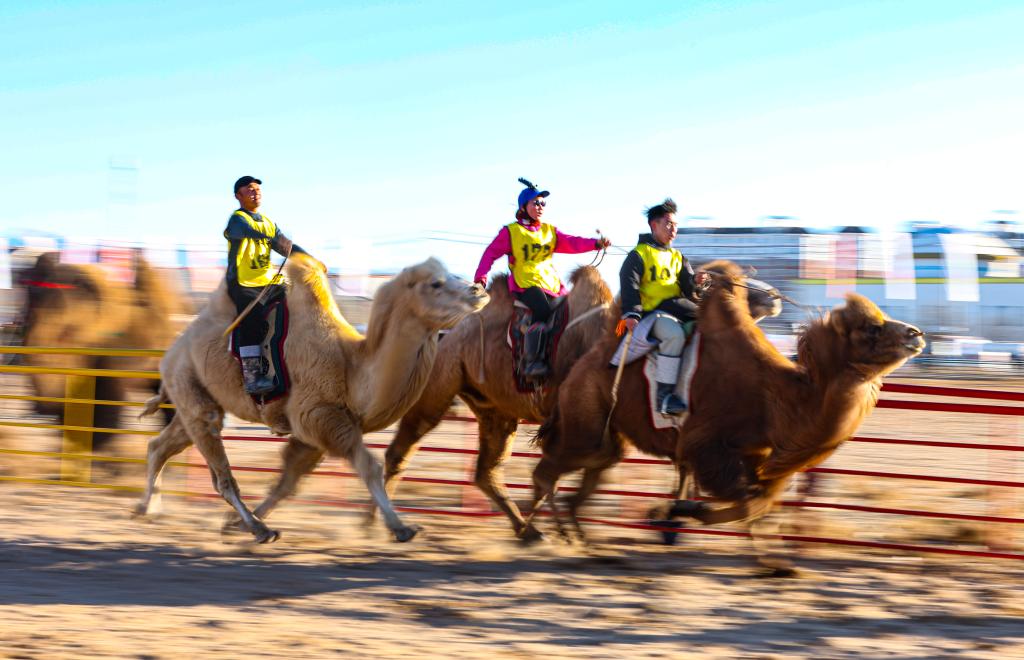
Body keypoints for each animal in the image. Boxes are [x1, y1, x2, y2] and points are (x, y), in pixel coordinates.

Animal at [133, 252, 489, 544]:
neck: (351, 367)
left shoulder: (313, 433)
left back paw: (147, 508)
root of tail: (171, 349)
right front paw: (401, 527)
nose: (478, 290)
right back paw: (258, 530)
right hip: (190, 388)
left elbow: (288, 481)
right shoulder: (320, 416)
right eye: (436, 283)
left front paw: (232, 524)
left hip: (195, 400)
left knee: (159, 446)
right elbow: (369, 466)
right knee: (219, 473)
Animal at [530, 260, 925, 544]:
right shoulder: (706, 446)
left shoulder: (755, 454)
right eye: (872, 328)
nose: (916, 334)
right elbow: (749, 500)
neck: (777, 396)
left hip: (607, 436)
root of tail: (578, 369)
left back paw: (578, 538)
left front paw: (678, 513)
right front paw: (675, 512)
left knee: (587, 469)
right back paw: (536, 532)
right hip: (585, 420)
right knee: (548, 470)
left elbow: (761, 501)